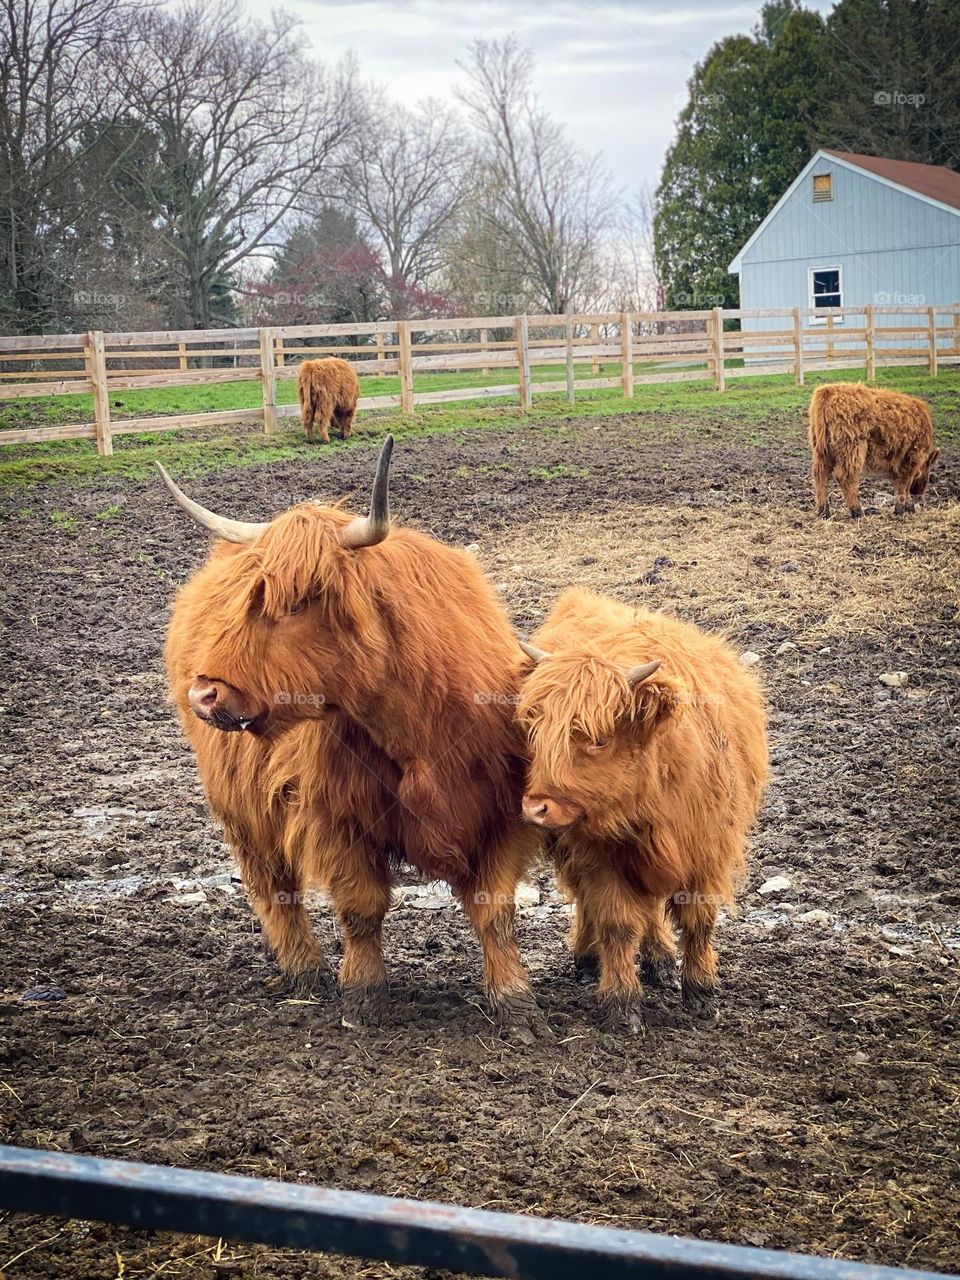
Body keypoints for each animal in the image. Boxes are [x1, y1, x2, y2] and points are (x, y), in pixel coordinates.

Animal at [157, 436, 544, 1041]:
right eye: (250, 595)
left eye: (295, 602)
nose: (205, 693)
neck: (419, 728)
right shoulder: (335, 816)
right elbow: (362, 907)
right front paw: (362, 996)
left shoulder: (501, 815)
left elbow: (495, 909)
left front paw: (514, 1000)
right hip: (241, 808)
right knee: (273, 888)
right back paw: (304, 969)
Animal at [515, 589, 768, 1034]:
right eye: (535, 730)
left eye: (598, 739)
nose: (536, 807)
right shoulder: (599, 856)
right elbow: (616, 924)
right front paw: (622, 1004)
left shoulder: (707, 851)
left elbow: (699, 921)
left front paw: (702, 993)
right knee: (591, 903)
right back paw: (588, 957)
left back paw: (660, 960)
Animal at [808, 382, 939, 519]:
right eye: (928, 468)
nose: (919, 494)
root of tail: (828, 390)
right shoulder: (912, 457)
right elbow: (905, 484)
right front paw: (901, 509)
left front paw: (908, 508)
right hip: (852, 449)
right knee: (844, 477)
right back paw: (857, 511)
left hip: (821, 451)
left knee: (820, 475)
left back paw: (824, 512)